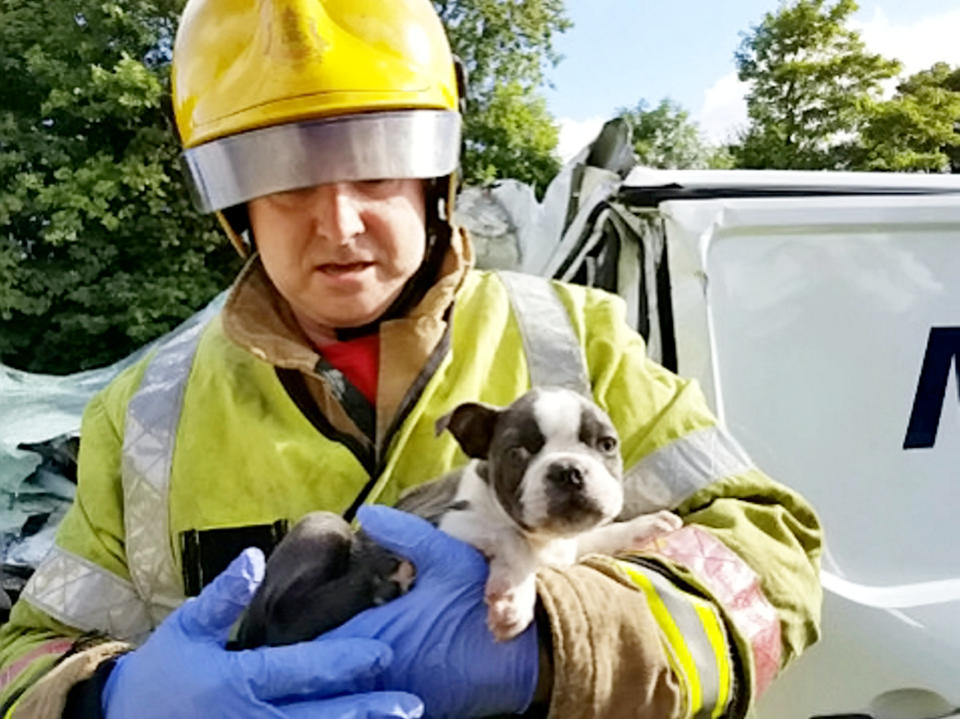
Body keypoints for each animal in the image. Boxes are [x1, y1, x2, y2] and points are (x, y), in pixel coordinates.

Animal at [404, 388, 684, 640]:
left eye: (607, 444)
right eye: (516, 452)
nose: (569, 471)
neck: (546, 539)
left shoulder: (568, 549)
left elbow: (601, 535)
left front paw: (648, 523)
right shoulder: (444, 519)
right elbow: (513, 539)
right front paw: (513, 595)